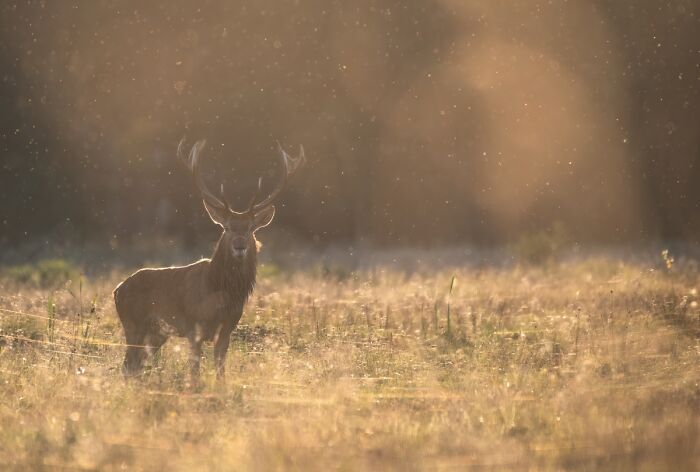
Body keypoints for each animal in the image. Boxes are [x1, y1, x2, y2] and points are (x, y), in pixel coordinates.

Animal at [113, 138, 304, 381]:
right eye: (227, 227)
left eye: (251, 228)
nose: (239, 245)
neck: (222, 294)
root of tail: (117, 289)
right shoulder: (194, 326)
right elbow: (194, 370)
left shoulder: (228, 327)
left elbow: (220, 367)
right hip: (133, 324)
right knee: (127, 365)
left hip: (156, 333)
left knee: (135, 365)